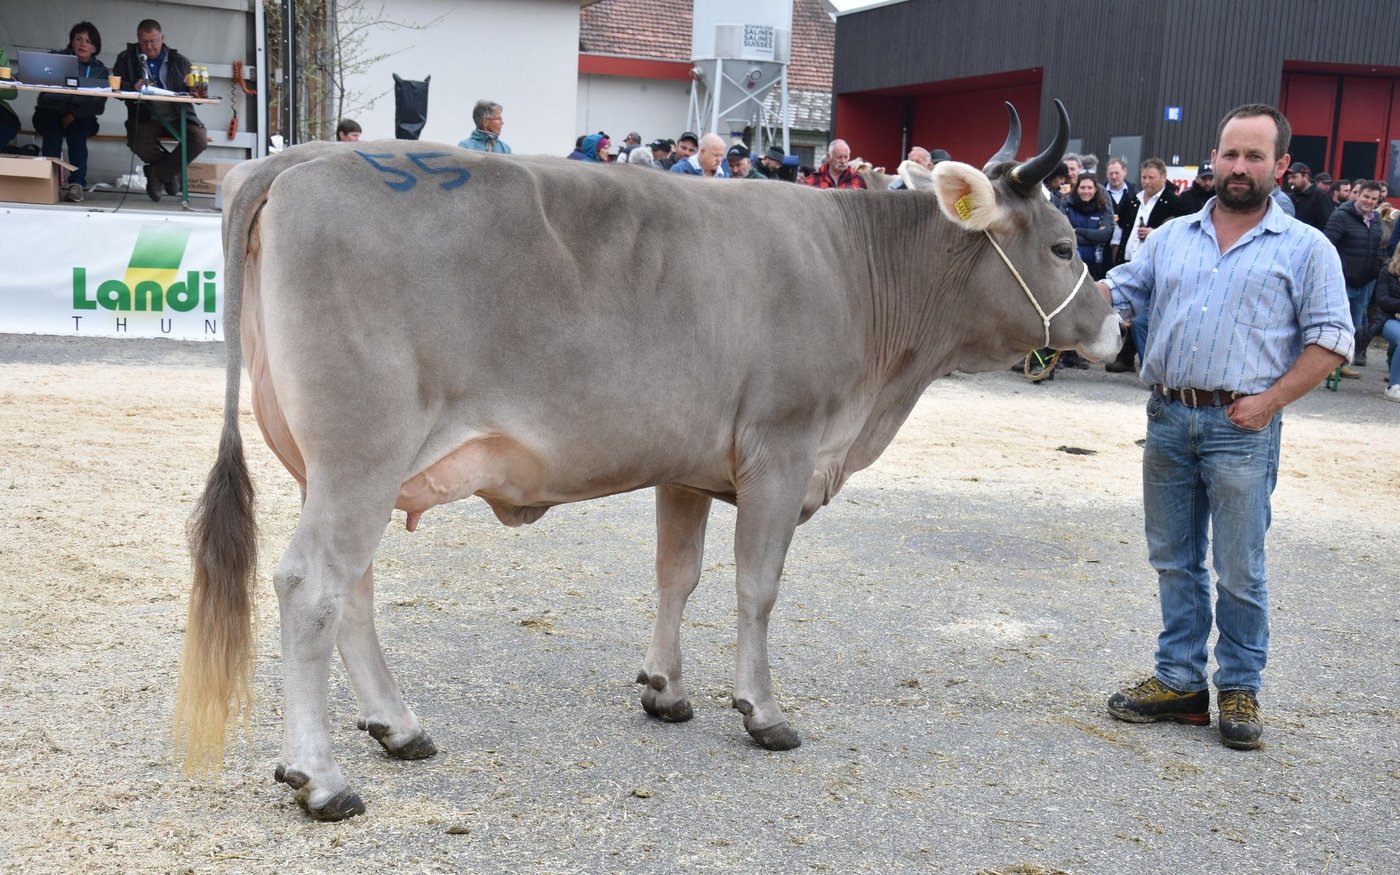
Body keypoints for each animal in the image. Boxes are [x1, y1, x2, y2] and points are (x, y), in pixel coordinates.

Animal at [175, 100, 1121, 820]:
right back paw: (322, 777)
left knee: (354, 591)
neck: (860, 275)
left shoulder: (689, 464)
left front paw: (666, 688)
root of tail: (299, 160)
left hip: (335, 464)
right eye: (1065, 246)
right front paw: (763, 709)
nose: (1117, 327)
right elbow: (757, 586)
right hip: (360, 452)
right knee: (311, 586)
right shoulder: (781, 449)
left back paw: (398, 726)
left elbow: (679, 574)